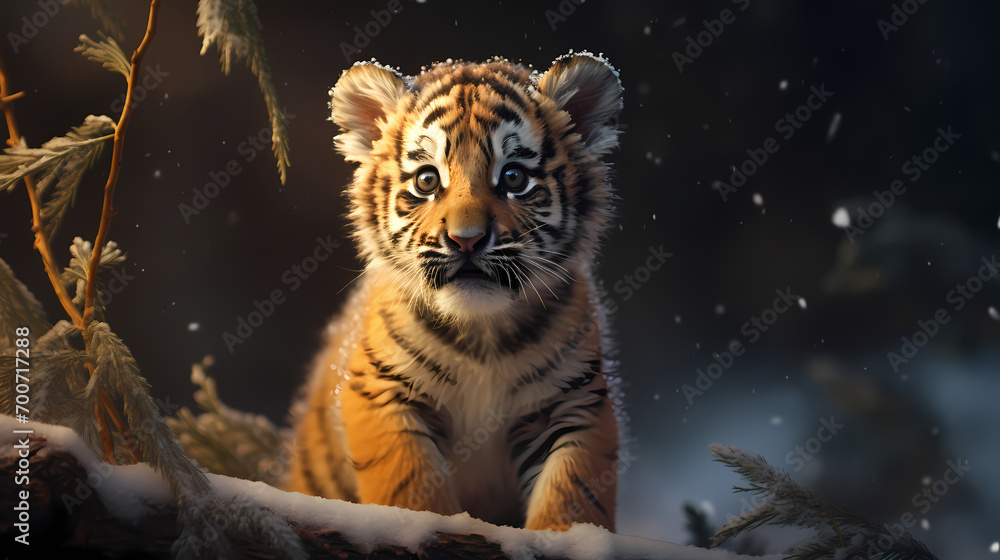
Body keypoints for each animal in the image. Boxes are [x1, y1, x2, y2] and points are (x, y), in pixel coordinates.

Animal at [285, 51, 625, 532]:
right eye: (427, 180)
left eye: (514, 177)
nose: (467, 240)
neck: (482, 335)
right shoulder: (382, 391)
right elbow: (410, 484)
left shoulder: (575, 401)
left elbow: (571, 493)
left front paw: (565, 537)